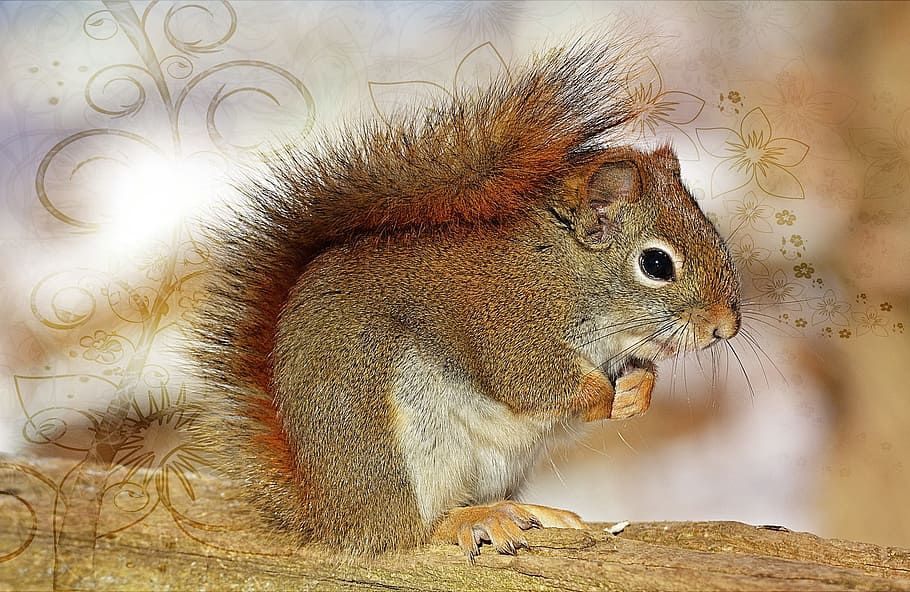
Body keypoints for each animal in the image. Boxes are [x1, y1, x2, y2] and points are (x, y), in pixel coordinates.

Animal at [187, 39, 741, 561]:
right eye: (656, 264)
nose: (725, 327)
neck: (565, 272)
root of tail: (327, 512)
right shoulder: (508, 327)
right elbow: (533, 384)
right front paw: (602, 396)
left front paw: (637, 391)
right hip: (400, 448)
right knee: (413, 529)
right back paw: (475, 520)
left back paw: (529, 511)